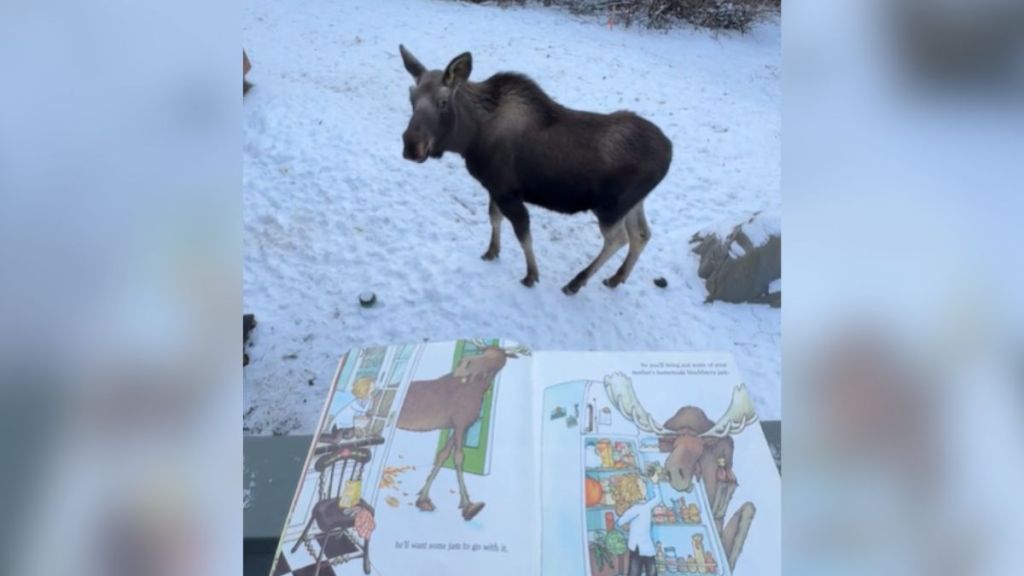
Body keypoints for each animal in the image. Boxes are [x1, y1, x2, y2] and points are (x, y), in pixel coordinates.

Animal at [397, 44, 671, 293]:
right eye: (411, 98)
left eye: (443, 102)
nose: (412, 146)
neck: (469, 138)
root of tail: (669, 152)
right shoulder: (494, 187)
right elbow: (494, 218)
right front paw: (492, 251)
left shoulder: (507, 191)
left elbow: (523, 233)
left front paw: (531, 275)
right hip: (633, 203)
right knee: (641, 234)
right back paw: (616, 278)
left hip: (609, 208)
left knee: (618, 239)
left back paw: (576, 282)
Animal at [397, 338, 532, 518]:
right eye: (483, 351)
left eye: (499, 357)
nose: (463, 364)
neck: (479, 388)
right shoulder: (461, 423)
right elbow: (459, 457)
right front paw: (468, 505)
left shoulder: (460, 425)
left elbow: (442, 455)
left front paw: (423, 500)